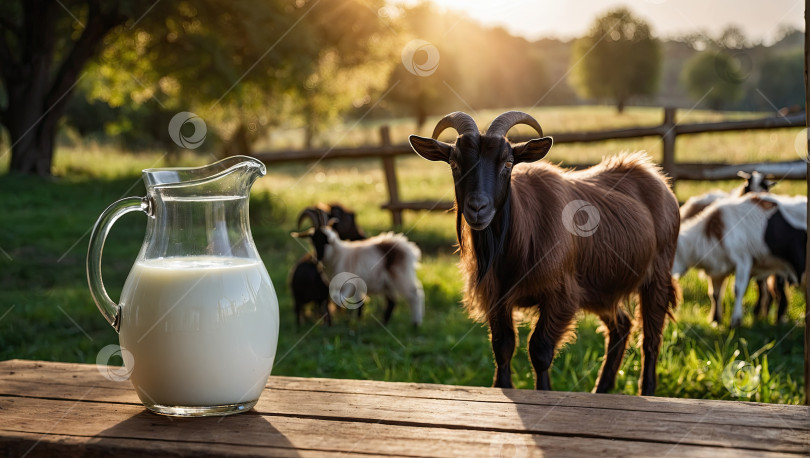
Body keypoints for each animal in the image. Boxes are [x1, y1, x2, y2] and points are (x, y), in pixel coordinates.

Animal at [288, 215, 422, 326]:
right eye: (314, 239)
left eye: (327, 239)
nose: (317, 259)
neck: (338, 255)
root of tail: (408, 247)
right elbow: (358, 301)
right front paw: (357, 320)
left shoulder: (348, 283)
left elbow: (339, 298)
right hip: (388, 282)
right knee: (391, 302)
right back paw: (384, 323)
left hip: (401, 276)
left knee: (415, 294)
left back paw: (415, 324)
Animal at [408, 112, 680, 398]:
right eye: (454, 163)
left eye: (508, 163)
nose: (477, 208)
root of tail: (655, 177)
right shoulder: (497, 297)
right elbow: (503, 347)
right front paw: (501, 387)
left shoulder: (560, 294)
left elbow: (539, 350)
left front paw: (544, 392)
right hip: (600, 287)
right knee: (621, 327)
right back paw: (602, 389)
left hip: (658, 274)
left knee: (651, 337)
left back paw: (647, 391)